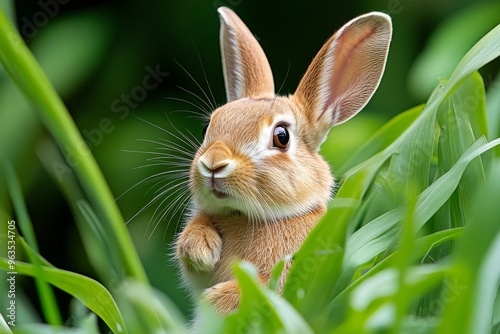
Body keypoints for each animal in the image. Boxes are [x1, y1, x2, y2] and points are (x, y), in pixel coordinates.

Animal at [175, 7, 390, 316]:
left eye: (281, 136)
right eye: (207, 129)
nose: (213, 164)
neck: (252, 217)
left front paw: (216, 300)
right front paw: (200, 249)